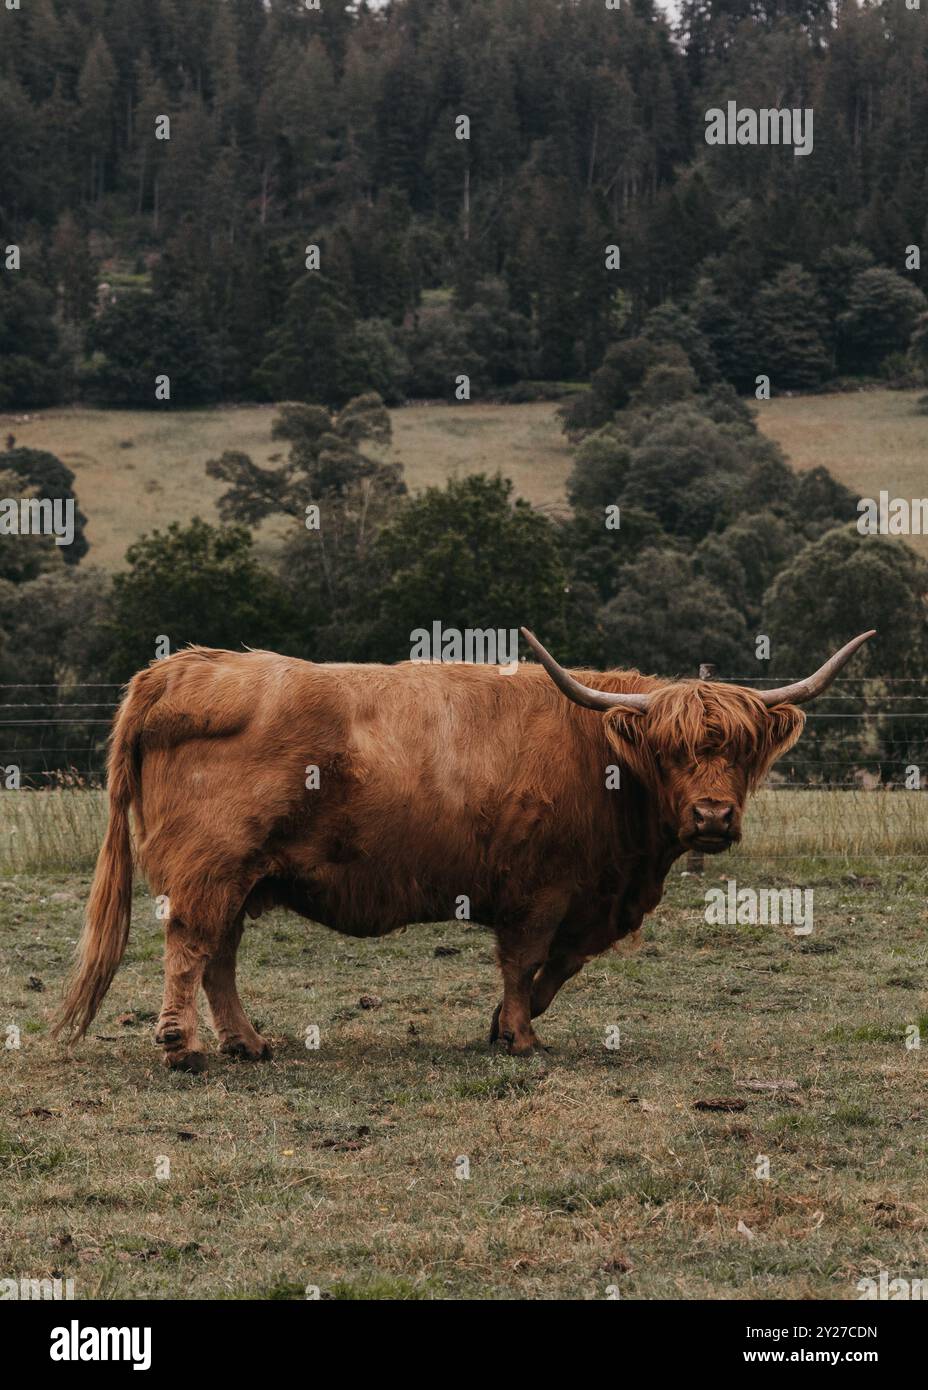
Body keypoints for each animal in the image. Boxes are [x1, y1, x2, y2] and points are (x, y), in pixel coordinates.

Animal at [54, 627, 874, 1069]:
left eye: (739, 749)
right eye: (671, 752)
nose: (711, 814)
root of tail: (185, 665)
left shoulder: (581, 899)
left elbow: (556, 969)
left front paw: (507, 1025)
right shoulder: (539, 891)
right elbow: (525, 963)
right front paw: (519, 1036)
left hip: (246, 875)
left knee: (218, 956)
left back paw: (247, 1042)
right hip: (212, 863)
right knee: (190, 945)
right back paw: (182, 1046)